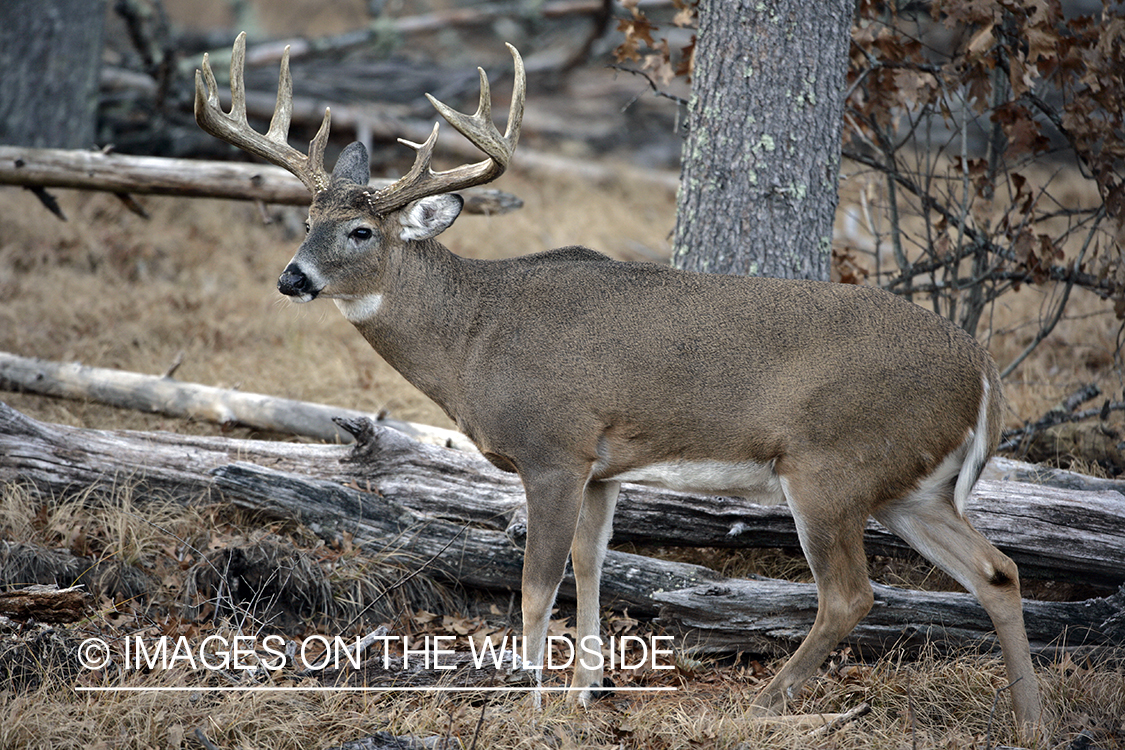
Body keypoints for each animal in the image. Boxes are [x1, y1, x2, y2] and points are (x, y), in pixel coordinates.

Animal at [195, 33, 1044, 737]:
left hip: (830, 465)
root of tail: (982, 371)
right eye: (305, 216)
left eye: (361, 231)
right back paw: (1029, 720)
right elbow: (591, 568)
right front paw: (585, 692)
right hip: (910, 488)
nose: (291, 277)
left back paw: (763, 705)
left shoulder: (554, 448)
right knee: (997, 571)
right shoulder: (604, 466)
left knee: (852, 595)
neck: (473, 337)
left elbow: (537, 583)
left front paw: (528, 698)